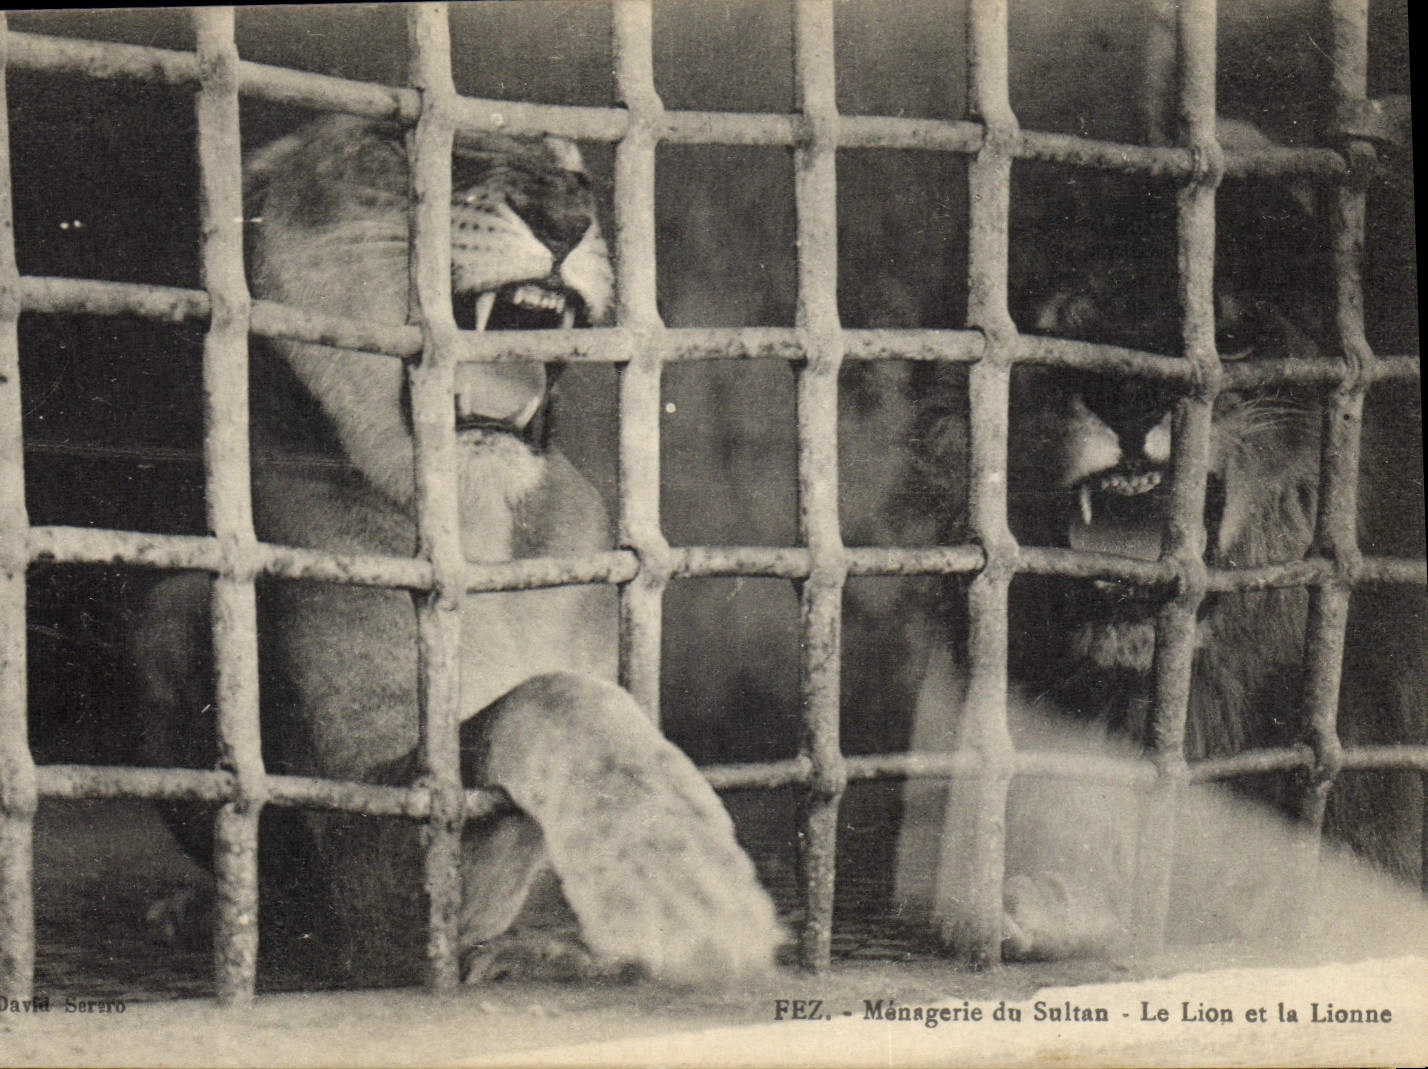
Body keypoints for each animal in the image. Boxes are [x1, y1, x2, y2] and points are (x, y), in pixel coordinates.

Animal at [131, 115, 781, 988]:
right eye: (396, 140)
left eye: (576, 172)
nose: (565, 212)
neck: (482, 531)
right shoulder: (367, 876)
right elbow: (550, 698)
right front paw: (684, 875)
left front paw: (562, 940)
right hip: (165, 613)